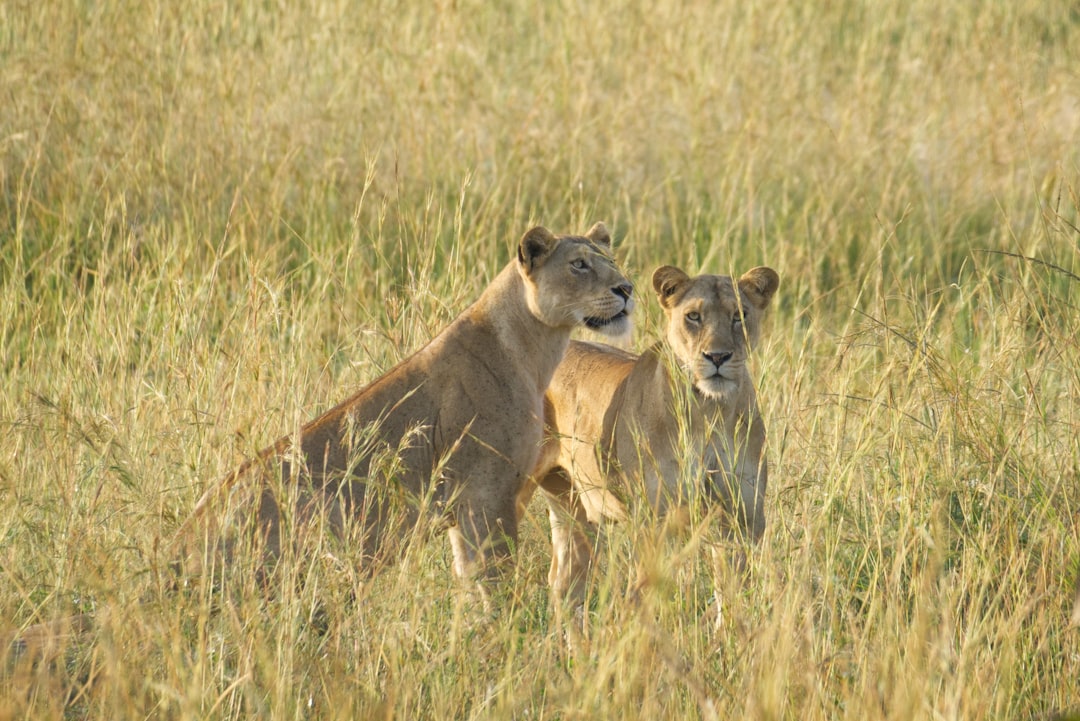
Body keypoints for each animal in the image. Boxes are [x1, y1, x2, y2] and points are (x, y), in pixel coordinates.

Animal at [528, 264, 779, 601]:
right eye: (693, 316)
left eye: (739, 315)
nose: (717, 357)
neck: (710, 410)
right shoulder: (653, 521)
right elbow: (646, 591)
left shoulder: (743, 516)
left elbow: (732, 592)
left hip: (573, 506)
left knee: (567, 583)